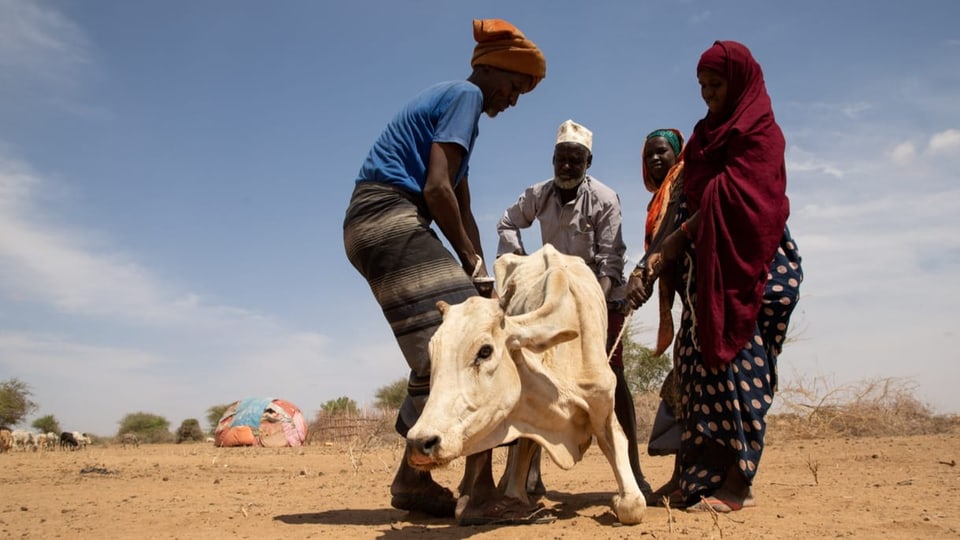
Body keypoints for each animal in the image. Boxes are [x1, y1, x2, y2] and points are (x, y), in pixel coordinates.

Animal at [404, 245, 644, 524]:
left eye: (485, 351)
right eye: (433, 355)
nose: (419, 443)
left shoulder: (603, 406)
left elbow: (633, 505)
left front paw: (618, 500)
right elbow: (520, 461)